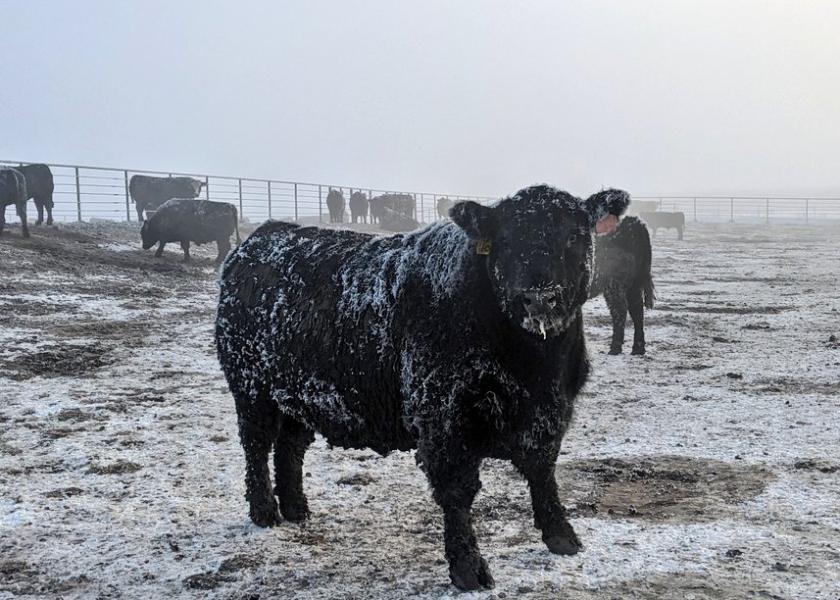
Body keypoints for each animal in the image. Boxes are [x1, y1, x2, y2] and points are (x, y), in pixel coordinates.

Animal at [217, 184, 632, 592]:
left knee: (290, 446)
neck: (534, 367)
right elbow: (459, 491)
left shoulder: (553, 410)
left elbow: (543, 472)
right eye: (505, 239)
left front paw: (561, 536)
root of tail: (260, 238)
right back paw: (264, 511)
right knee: (256, 446)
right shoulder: (443, 415)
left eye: (575, 235)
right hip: (250, 389)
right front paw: (468, 568)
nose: (538, 296)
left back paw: (296, 508)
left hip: (298, 395)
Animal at [588, 216, 652, 354]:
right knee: (637, 311)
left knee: (620, 310)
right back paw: (638, 349)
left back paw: (615, 348)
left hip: (614, 285)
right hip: (633, 286)